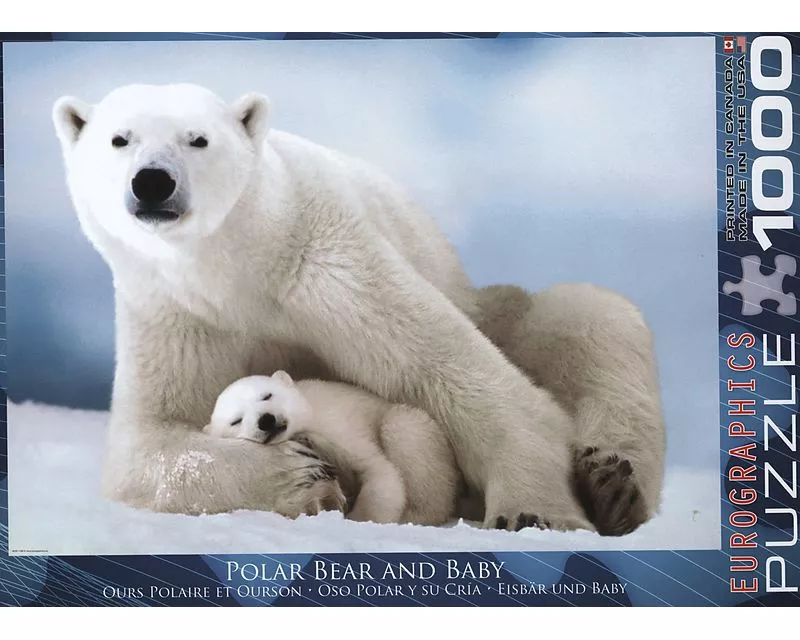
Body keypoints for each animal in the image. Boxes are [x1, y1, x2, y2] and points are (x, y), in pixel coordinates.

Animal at [203, 371, 461, 525]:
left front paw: (362, 518)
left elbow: (378, 471)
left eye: (267, 395)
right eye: (236, 420)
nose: (266, 420)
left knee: (403, 427)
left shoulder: (338, 427)